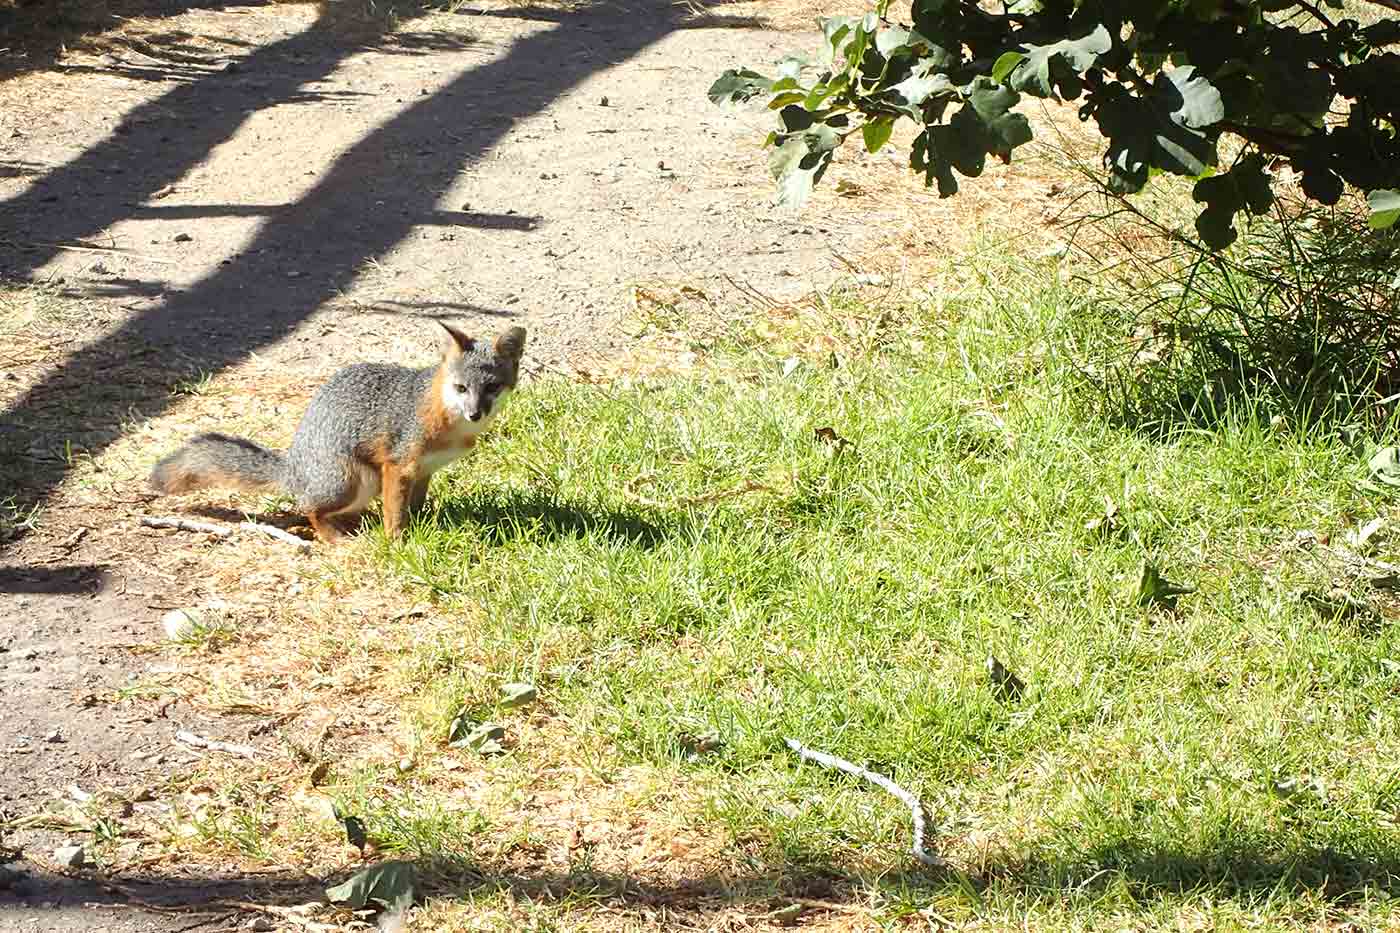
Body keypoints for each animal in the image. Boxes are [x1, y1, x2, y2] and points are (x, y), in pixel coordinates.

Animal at [150, 322, 526, 540]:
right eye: (461, 388)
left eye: (491, 387)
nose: (475, 413)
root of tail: (293, 466)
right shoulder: (397, 466)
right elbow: (395, 514)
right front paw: (398, 544)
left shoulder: (423, 471)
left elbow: (415, 508)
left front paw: (423, 527)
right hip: (353, 480)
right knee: (310, 508)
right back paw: (335, 539)